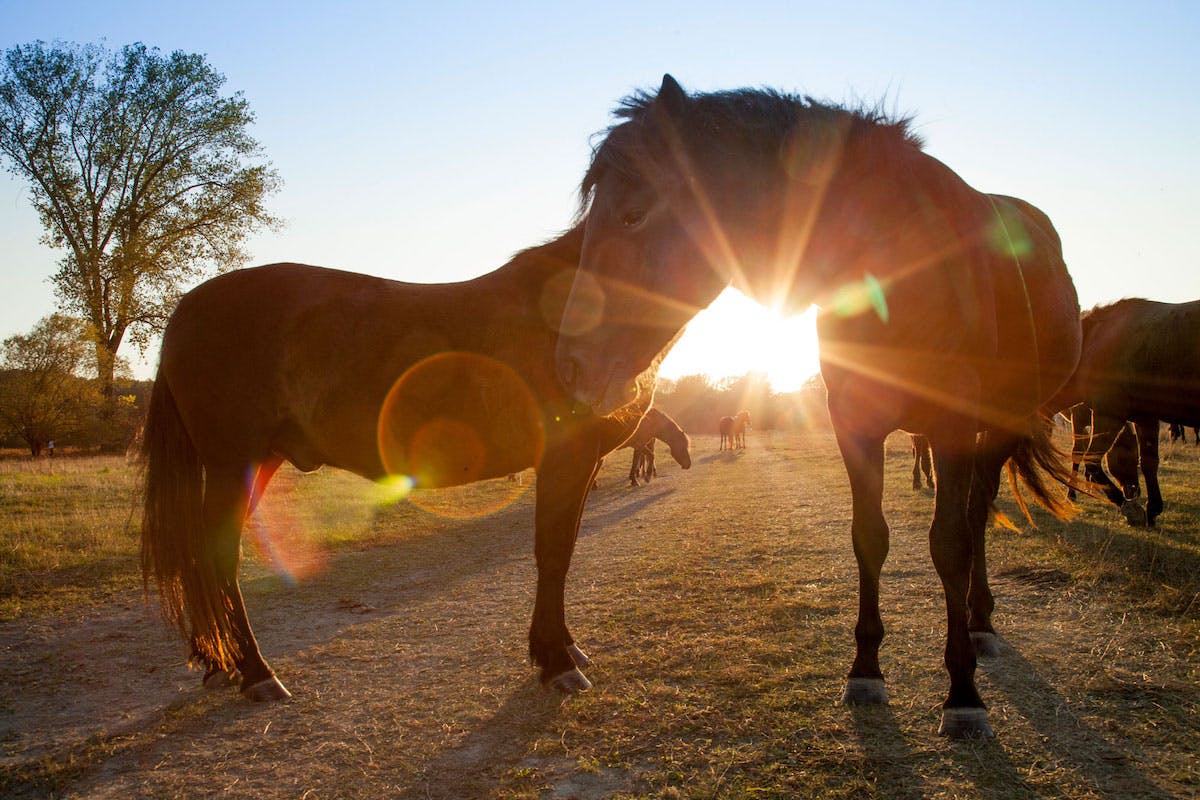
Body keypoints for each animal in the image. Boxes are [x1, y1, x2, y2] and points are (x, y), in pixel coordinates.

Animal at [141, 221, 672, 705]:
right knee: (216, 558)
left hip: (259, 464)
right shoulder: (566, 459)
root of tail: (188, 305)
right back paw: (256, 673)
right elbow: (555, 555)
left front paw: (563, 648)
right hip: (232, 465)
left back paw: (219, 661)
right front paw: (557, 661)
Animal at [556, 74, 1084, 738]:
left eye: (633, 213)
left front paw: (963, 694)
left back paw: (981, 624)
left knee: (976, 518)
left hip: (998, 426)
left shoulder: (953, 425)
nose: (571, 364)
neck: (901, 265)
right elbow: (869, 538)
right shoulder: (854, 423)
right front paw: (866, 671)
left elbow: (949, 546)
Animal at [1051, 297, 1200, 527]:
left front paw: (1134, 507)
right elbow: (1148, 462)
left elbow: (1093, 461)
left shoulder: (1110, 416)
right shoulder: (1139, 417)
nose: (1133, 491)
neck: (1091, 345)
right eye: (1125, 458)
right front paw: (1148, 509)